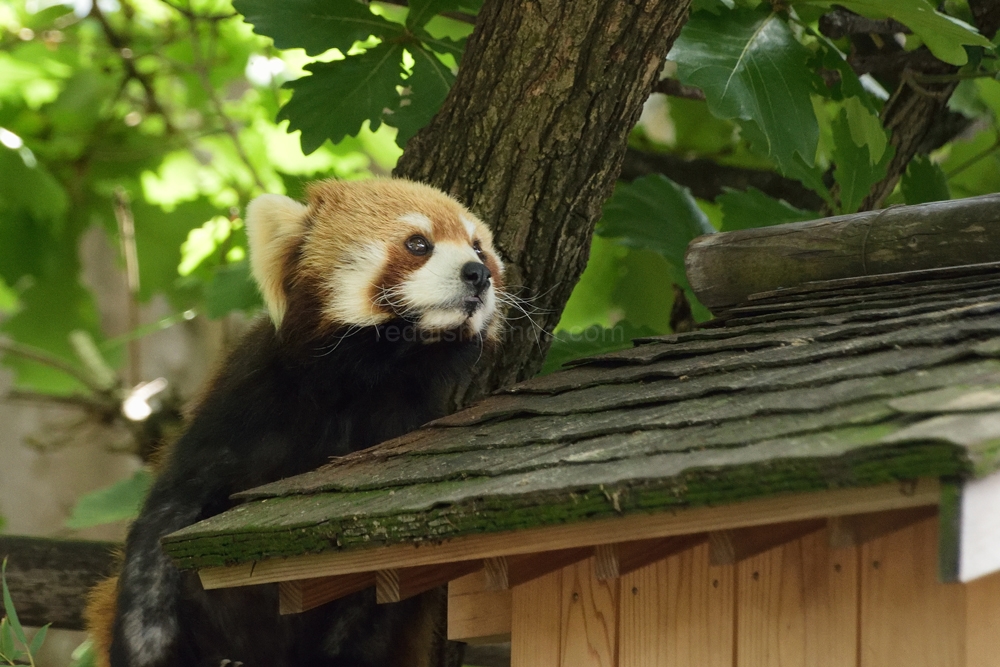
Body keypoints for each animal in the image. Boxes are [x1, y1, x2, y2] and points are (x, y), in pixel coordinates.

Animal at [86, 177, 504, 667]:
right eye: (418, 244)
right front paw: (147, 650)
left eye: (479, 248)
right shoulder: (245, 409)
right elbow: (163, 531)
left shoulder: (402, 424)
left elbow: (374, 592)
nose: (478, 274)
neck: (365, 379)